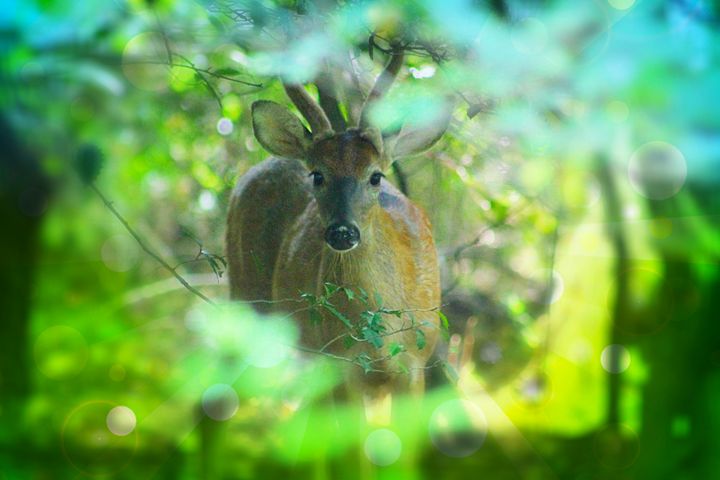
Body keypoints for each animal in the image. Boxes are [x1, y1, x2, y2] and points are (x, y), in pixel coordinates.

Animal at [225, 50, 450, 422]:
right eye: (317, 175)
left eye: (375, 176)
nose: (342, 231)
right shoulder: (339, 364)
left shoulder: (414, 364)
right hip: (247, 302)